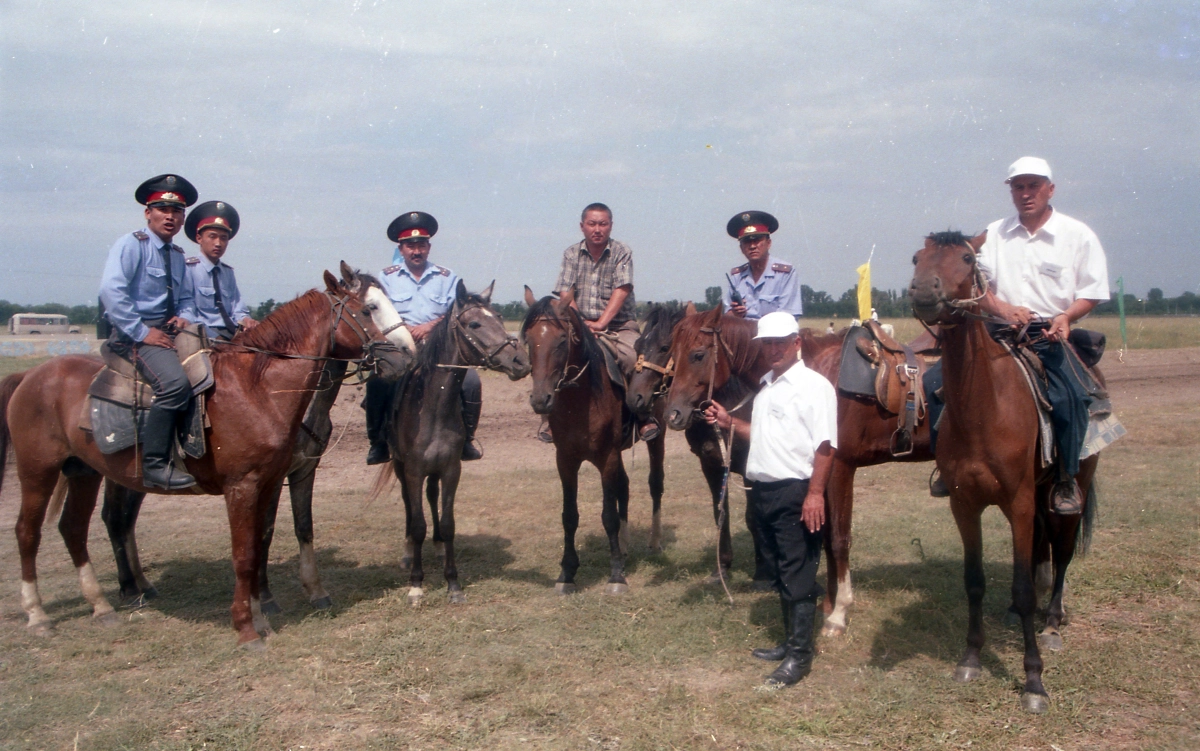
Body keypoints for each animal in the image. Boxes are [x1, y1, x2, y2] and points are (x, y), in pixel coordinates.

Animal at [0, 266, 415, 647]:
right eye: (369, 308)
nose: (407, 356)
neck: (256, 388)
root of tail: (30, 376)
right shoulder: (242, 486)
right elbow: (244, 554)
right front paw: (247, 627)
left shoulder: (271, 481)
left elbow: (262, 543)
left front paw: (262, 616)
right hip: (38, 472)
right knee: (30, 532)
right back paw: (40, 614)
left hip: (84, 473)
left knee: (74, 529)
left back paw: (102, 606)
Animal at [369, 278, 530, 604]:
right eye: (474, 323)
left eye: (498, 317)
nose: (520, 361)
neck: (432, 407)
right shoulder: (414, 470)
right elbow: (418, 523)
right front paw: (416, 584)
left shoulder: (451, 469)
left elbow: (448, 522)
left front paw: (453, 582)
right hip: (401, 467)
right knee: (409, 505)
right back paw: (409, 552)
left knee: (431, 497)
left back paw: (438, 546)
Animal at [525, 286, 638, 590]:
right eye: (528, 340)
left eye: (562, 340)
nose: (540, 400)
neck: (582, 400)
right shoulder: (565, 460)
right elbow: (569, 516)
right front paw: (567, 572)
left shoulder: (607, 457)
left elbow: (608, 516)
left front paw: (616, 575)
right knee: (624, 486)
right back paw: (625, 547)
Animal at [662, 304, 931, 633]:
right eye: (671, 352)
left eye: (698, 354)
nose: (673, 415)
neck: (817, 375)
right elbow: (825, 538)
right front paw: (828, 603)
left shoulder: (840, 467)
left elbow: (839, 538)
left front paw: (839, 613)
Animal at [907, 229, 1099, 715]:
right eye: (917, 257)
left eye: (966, 257)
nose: (924, 292)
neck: (983, 407)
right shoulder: (964, 504)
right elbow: (974, 582)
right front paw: (971, 658)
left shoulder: (1019, 502)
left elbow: (1026, 588)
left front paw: (1033, 682)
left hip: (1072, 490)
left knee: (1061, 555)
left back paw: (1052, 625)